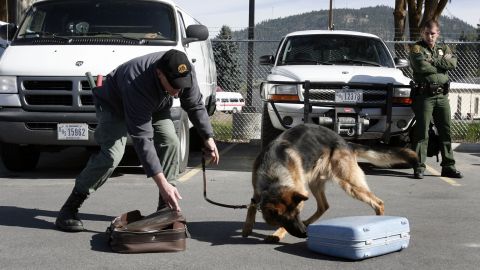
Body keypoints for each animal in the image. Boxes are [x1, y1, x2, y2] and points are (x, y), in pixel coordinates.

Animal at [242, 123, 418, 242]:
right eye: (285, 218)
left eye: (297, 213)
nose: (304, 234)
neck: (274, 176)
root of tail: (345, 142)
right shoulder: (257, 192)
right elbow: (251, 207)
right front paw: (247, 228)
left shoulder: (299, 194)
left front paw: (277, 234)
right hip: (315, 183)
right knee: (324, 206)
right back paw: (308, 222)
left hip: (349, 183)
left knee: (378, 202)